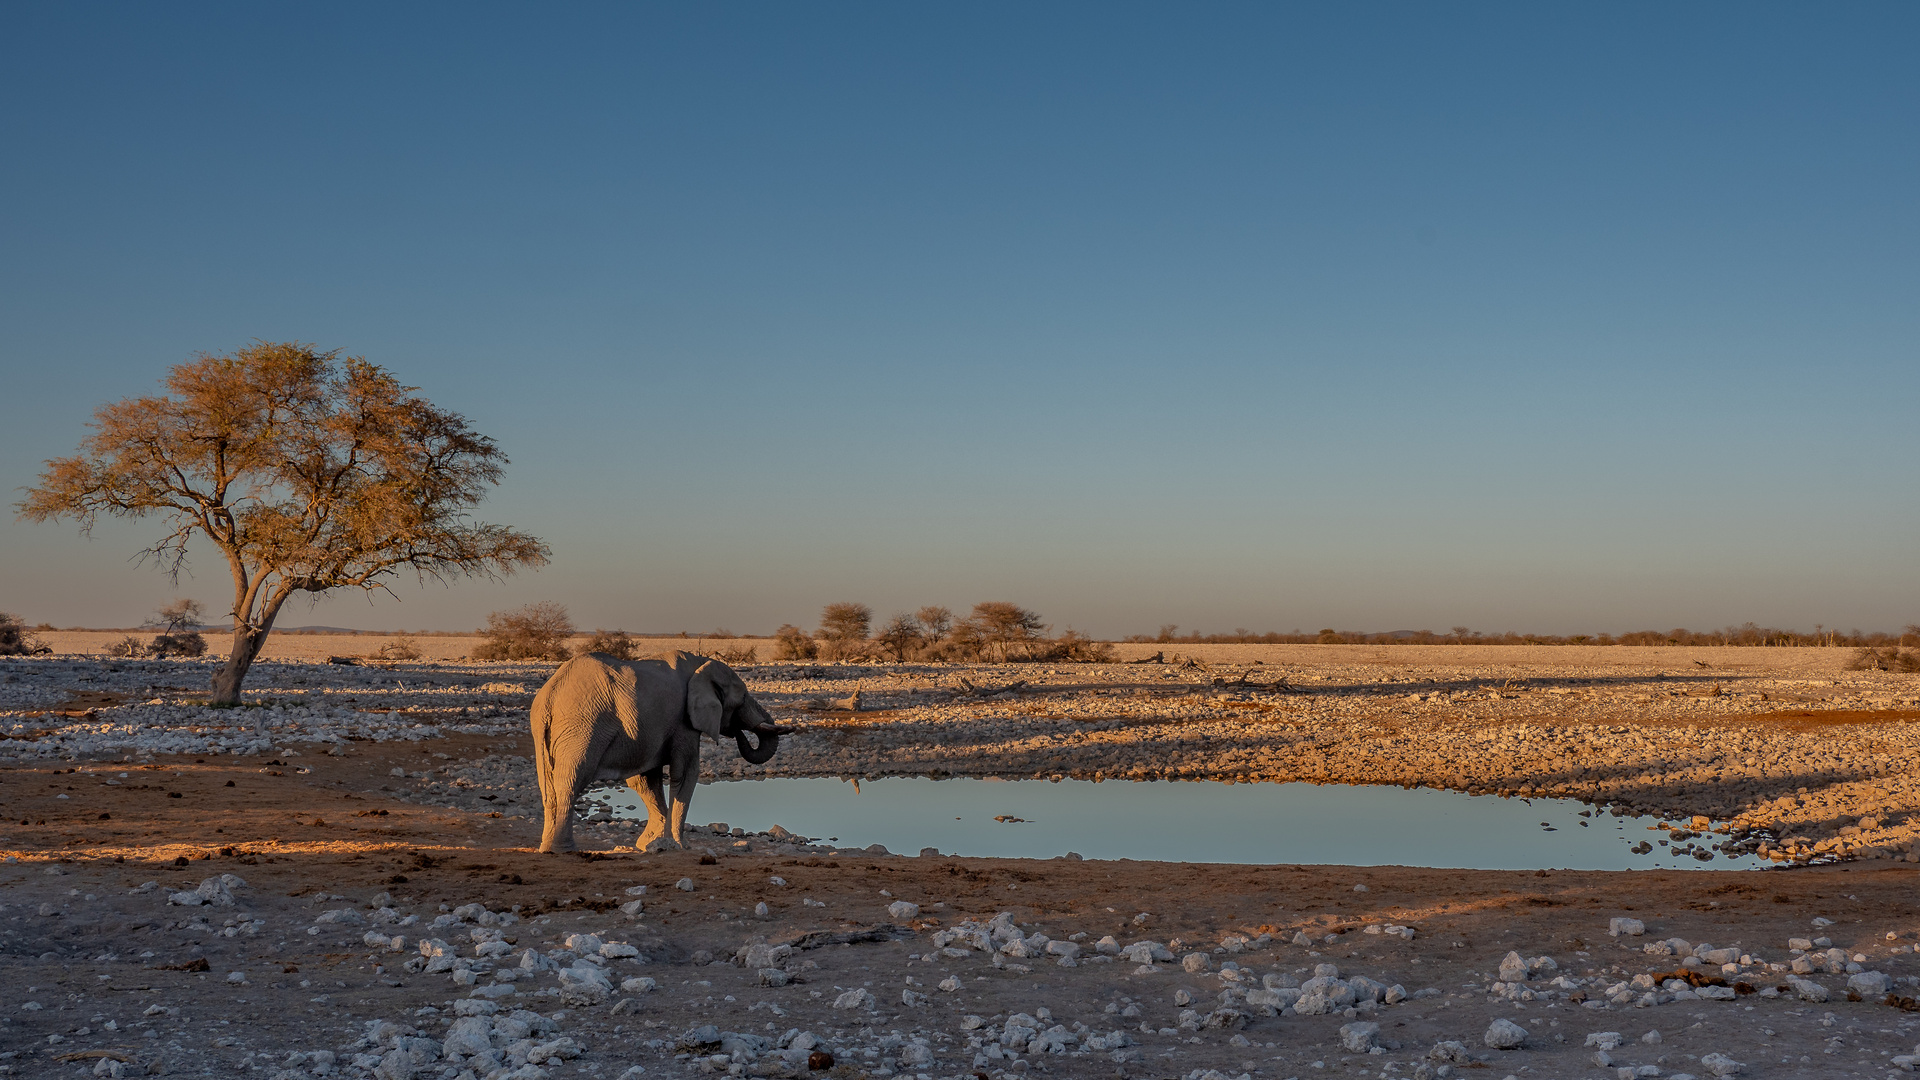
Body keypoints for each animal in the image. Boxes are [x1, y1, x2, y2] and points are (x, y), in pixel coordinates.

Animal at [529, 645, 791, 849]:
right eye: (743, 698)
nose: (737, 731)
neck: (701, 664)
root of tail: (549, 696)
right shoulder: (683, 721)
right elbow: (685, 773)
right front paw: (679, 846)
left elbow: (645, 781)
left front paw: (652, 844)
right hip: (583, 724)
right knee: (571, 780)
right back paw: (563, 850)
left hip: (549, 731)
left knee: (548, 786)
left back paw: (547, 848)